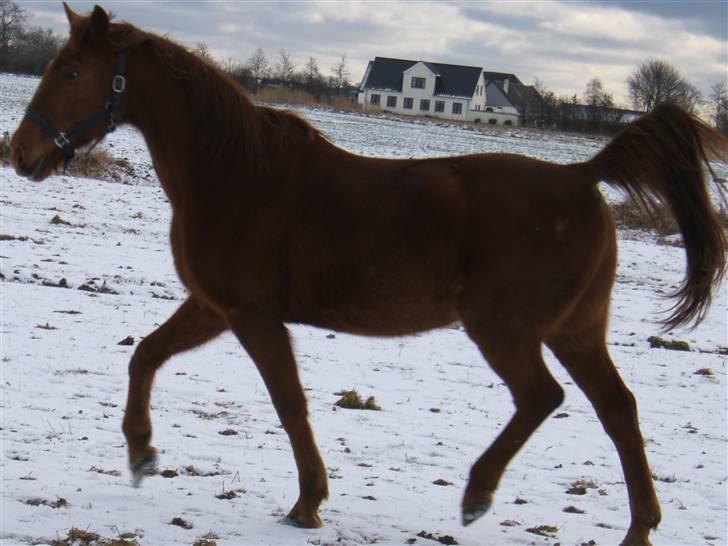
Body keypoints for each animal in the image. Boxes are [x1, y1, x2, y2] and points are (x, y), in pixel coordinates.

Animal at [11, 5, 728, 544]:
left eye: (71, 69)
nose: (20, 153)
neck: (233, 172)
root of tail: (583, 175)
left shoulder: (251, 315)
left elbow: (289, 403)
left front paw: (307, 504)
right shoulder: (212, 307)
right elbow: (146, 356)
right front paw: (141, 455)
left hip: (506, 330)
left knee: (542, 398)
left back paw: (477, 495)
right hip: (576, 331)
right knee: (617, 408)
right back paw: (638, 528)